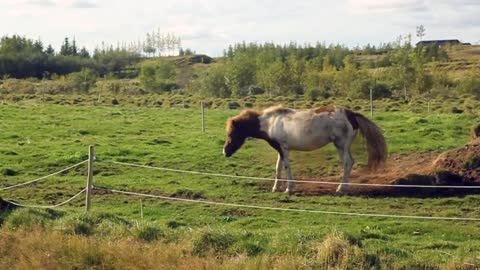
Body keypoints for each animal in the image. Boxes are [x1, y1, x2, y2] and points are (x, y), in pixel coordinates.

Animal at [223, 104, 388, 193]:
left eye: (232, 133)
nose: (225, 151)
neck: (270, 122)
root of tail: (351, 114)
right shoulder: (280, 149)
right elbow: (278, 168)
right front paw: (276, 188)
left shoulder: (284, 149)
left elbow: (286, 166)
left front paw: (289, 188)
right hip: (343, 146)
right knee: (351, 162)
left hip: (341, 145)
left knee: (347, 163)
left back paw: (341, 188)